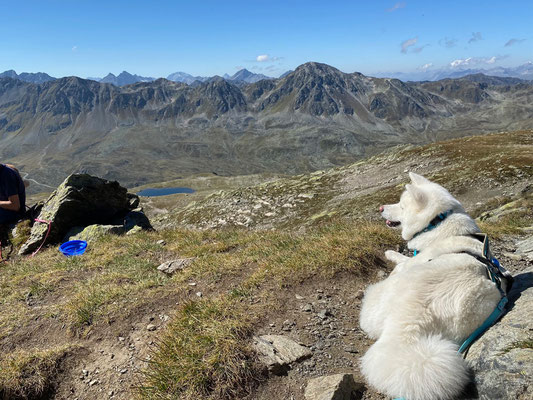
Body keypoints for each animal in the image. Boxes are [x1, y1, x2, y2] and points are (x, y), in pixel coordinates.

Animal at [360, 172, 510, 400]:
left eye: (401, 206)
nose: (380, 208)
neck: (437, 223)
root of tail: (412, 317)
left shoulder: (413, 261)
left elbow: (403, 261)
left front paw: (390, 254)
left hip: (378, 298)